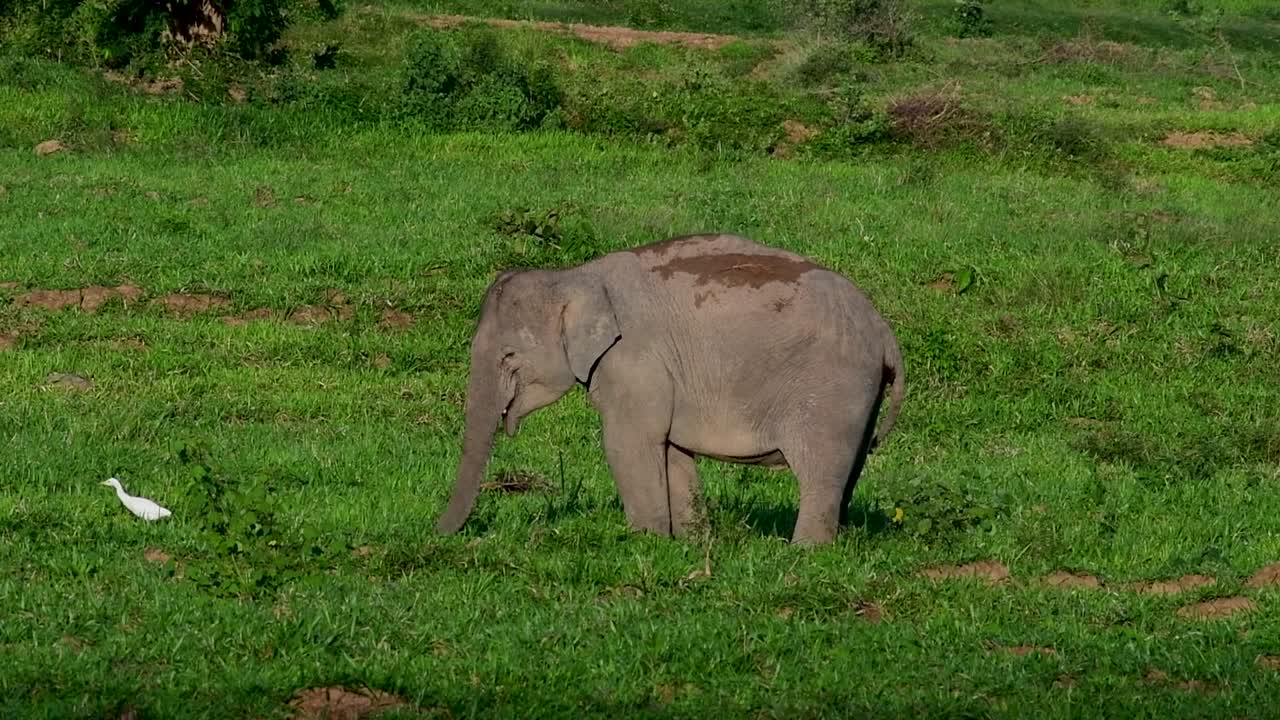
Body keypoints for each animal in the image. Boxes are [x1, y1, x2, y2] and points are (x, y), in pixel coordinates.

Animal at [435, 233, 905, 545]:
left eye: (509, 356)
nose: (437, 532)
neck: (576, 276)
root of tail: (884, 331)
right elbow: (671, 450)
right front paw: (690, 543)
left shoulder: (633, 361)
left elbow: (627, 443)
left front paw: (644, 541)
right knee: (849, 471)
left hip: (831, 389)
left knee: (820, 473)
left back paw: (804, 553)